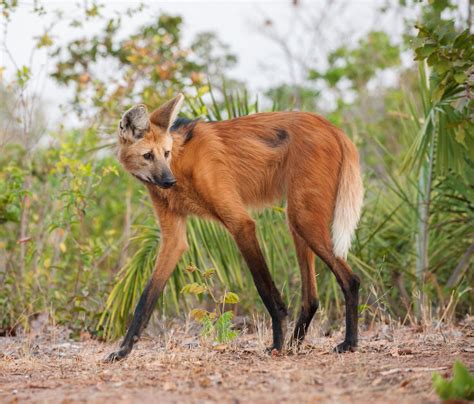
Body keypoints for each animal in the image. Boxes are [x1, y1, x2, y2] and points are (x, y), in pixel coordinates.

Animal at [106, 94, 362, 362]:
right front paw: (123, 350)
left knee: (351, 279)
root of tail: (333, 127)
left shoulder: (241, 224)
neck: (181, 163)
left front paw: (276, 344)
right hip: (297, 221)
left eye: (165, 153)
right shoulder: (173, 238)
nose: (168, 181)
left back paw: (348, 342)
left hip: (304, 219)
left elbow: (264, 287)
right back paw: (295, 344)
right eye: (148, 156)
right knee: (311, 298)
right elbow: (146, 297)